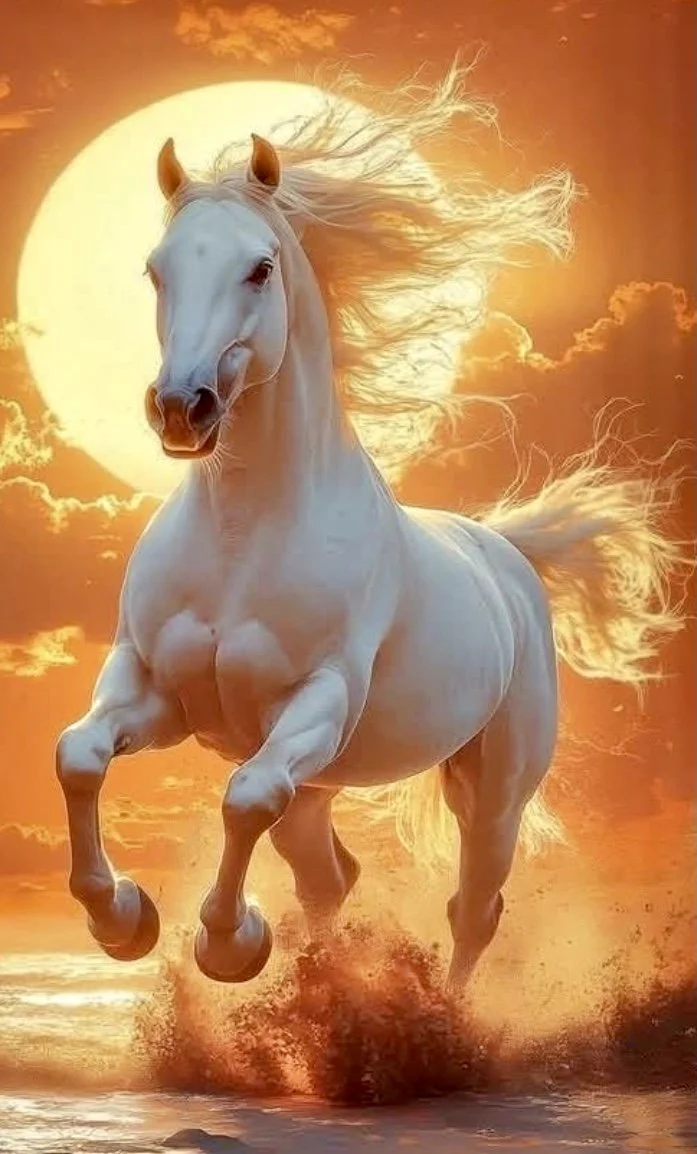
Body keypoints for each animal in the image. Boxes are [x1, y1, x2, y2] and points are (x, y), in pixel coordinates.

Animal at [55, 72, 684, 989]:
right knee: (331, 876)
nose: (181, 408)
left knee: (470, 909)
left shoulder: (319, 699)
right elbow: (80, 755)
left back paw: (440, 1017)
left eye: (260, 267)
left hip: (491, 788)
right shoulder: (153, 687)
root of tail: (506, 552)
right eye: (155, 270)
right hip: (323, 786)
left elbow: (242, 797)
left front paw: (227, 943)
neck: (245, 539)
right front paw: (125, 920)